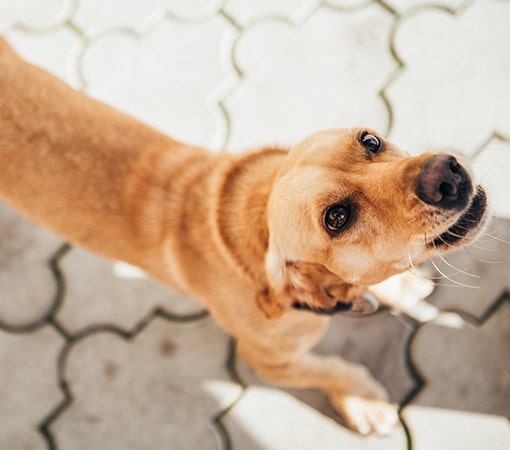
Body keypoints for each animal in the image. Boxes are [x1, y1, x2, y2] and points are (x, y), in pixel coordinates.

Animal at [0, 38, 490, 436]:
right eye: (337, 217)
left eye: (370, 140)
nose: (445, 174)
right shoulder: (269, 361)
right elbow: (329, 369)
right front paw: (362, 401)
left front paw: (401, 286)